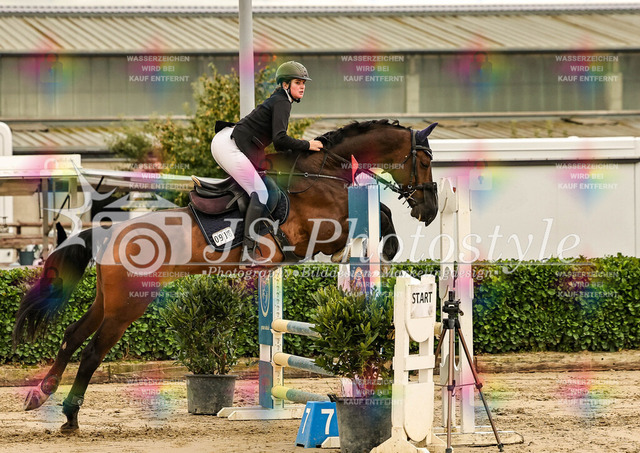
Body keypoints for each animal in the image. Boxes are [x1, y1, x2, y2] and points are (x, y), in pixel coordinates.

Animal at [12, 119, 438, 432]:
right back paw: (69, 416)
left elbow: (381, 213)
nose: (430, 211)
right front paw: (386, 248)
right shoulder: (321, 231)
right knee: (91, 352)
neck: (324, 173)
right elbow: (381, 213)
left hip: (108, 299)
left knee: (72, 336)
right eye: (425, 162)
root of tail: (107, 233)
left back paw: (41, 395)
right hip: (128, 306)